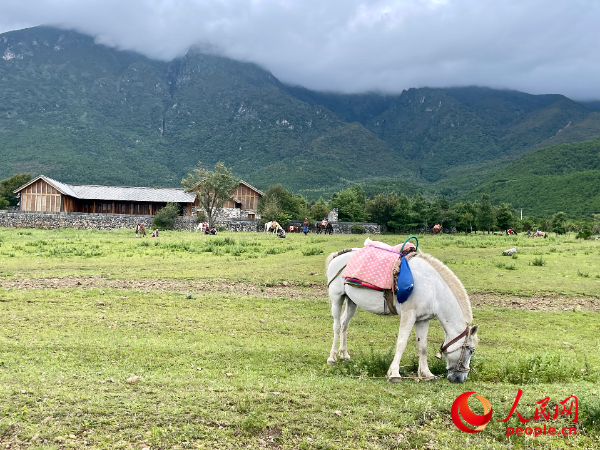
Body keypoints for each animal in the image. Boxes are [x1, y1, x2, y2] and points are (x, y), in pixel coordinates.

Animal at [326, 246, 480, 384]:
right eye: (471, 351)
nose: (461, 379)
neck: (432, 287)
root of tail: (337, 256)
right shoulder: (408, 315)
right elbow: (401, 343)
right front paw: (394, 373)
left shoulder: (423, 320)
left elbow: (422, 346)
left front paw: (426, 374)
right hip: (337, 299)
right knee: (337, 326)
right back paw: (332, 358)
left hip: (351, 302)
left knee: (344, 324)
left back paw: (344, 354)